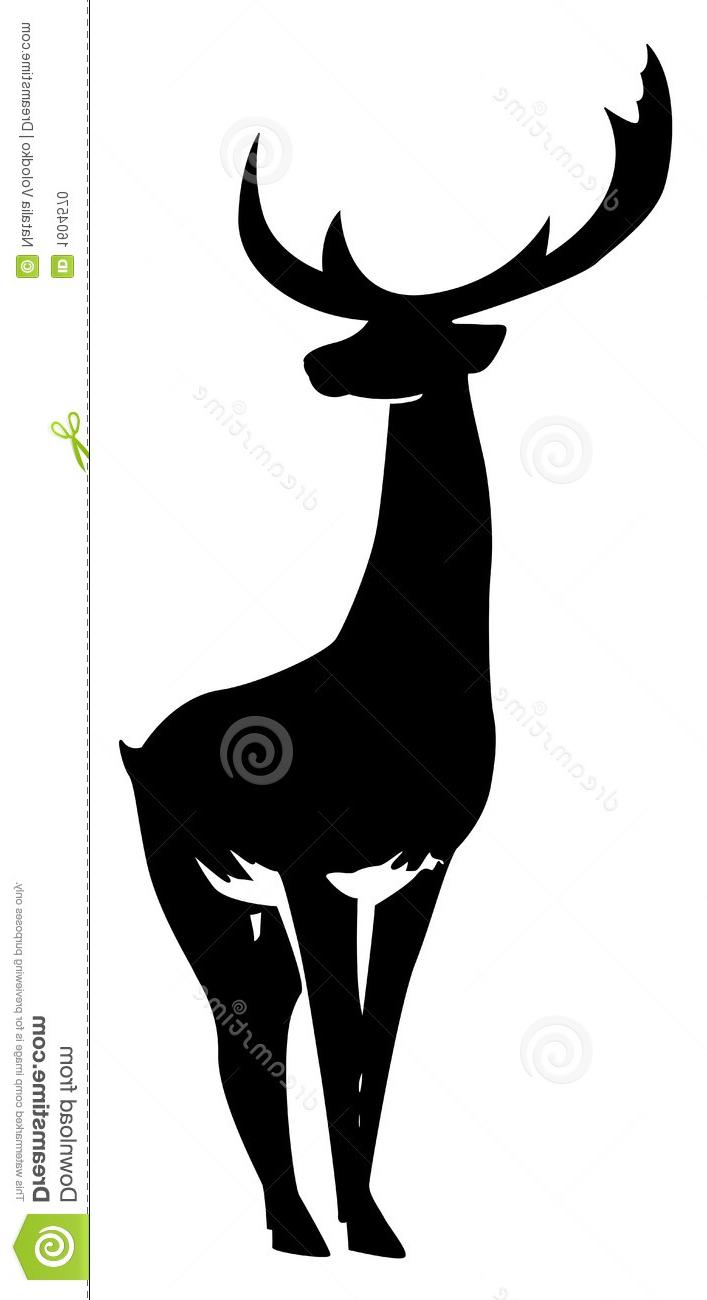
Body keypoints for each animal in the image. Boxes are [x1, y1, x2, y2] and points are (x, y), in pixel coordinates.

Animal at [121, 48, 671, 1259]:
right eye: (364, 322)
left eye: (410, 337)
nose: (319, 361)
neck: (404, 687)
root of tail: (141, 742)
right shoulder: (311, 864)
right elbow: (337, 1049)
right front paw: (360, 1229)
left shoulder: (422, 868)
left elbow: (379, 1043)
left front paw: (376, 1225)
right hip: (190, 876)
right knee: (242, 1025)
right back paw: (289, 1231)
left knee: (255, 1018)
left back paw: (296, 1225)